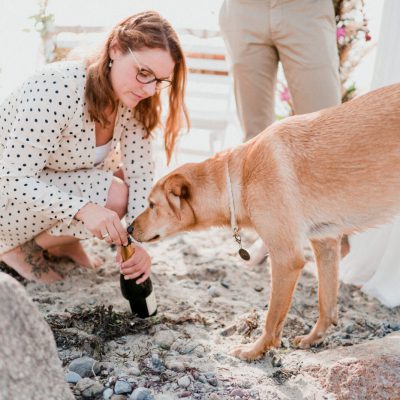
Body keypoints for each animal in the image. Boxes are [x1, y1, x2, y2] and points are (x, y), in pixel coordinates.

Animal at [130, 83, 400, 360]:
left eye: (152, 205)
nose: (128, 228)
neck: (240, 177)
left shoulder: (286, 258)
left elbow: (272, 317)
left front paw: (255, 350)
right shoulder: (325, 243)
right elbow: (326, 302)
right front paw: (314, 338)